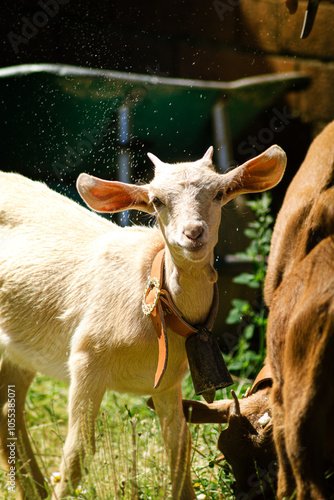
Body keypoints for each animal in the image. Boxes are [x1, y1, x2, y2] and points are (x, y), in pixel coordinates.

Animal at [0, 144, 286, 496]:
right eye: (156, 200)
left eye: (219, 193)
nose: (194, 233)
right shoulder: (86, 360)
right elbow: (77, 452)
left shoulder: (168, 380)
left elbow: (178, 447)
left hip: (22, 348)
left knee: (7, 407)